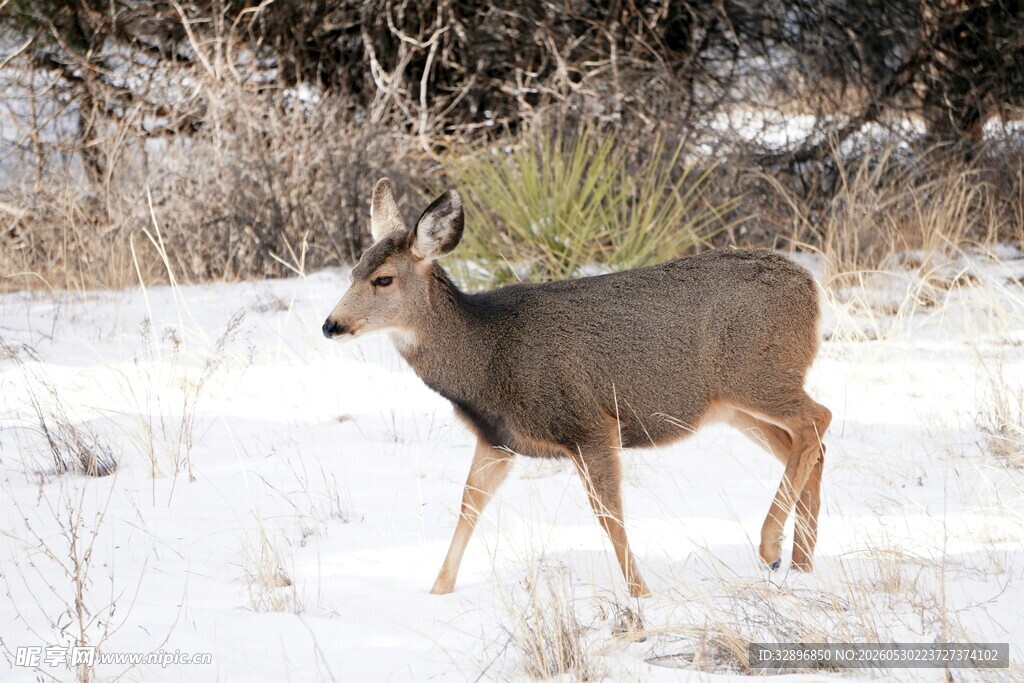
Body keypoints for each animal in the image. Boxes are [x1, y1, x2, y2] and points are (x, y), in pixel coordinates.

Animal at [322, 179, 831, 597]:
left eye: (383, 278)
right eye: (352, 272)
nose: (331, 325)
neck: (485, 357)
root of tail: (811, 287)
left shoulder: (588, 422)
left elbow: (609, 517)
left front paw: (640, 594)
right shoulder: (498, 440)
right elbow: (468, 506)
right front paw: (437, 592)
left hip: (759, 374)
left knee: (817, 419)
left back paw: (771, 548)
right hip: (734, 405)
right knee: (806, 444)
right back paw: (801, 562)